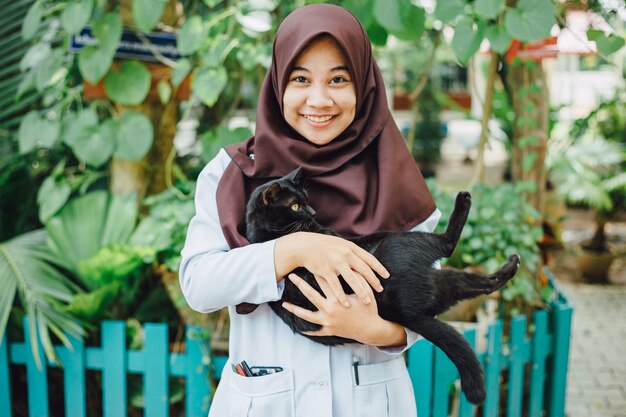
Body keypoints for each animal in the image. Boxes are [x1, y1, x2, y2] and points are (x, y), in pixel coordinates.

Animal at [244, 167, 516, 404]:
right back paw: (468, 206)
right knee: (450, 245)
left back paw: (510, 266)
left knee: (481, 284)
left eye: (306, 199)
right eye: (295, 206)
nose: (312, 212)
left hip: (437, 281)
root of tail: (405, 313)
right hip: (399, 241)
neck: (268, 234)